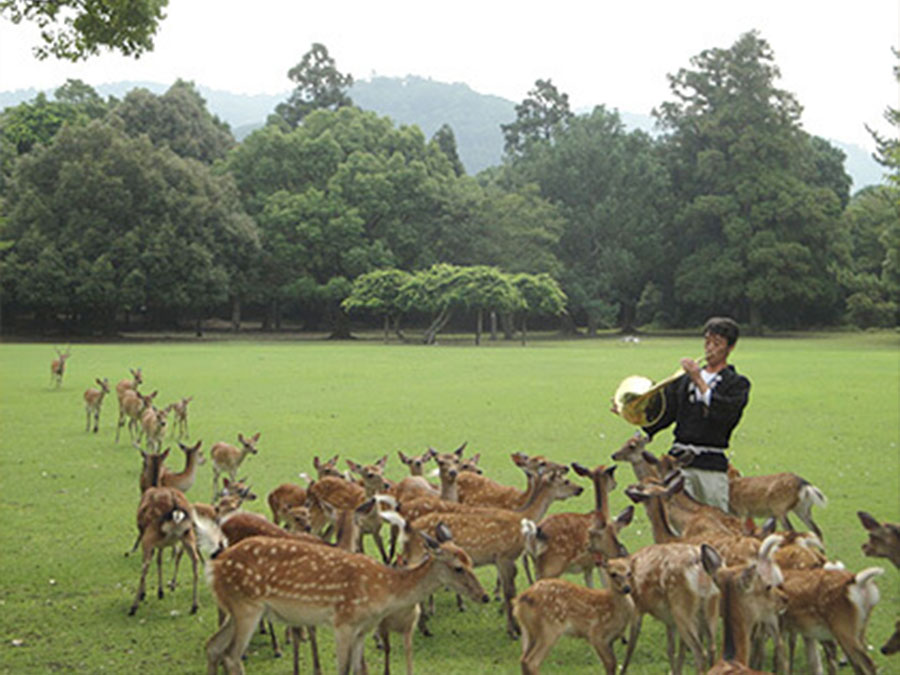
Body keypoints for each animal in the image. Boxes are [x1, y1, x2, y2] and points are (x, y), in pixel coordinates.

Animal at [205, 528, 488, 675]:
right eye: (458, 568)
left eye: (471, 561)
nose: (483, 596)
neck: (384, 591)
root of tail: (215, 566)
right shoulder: (343, 621)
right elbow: (342, 670)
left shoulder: (363, 628)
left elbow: (356, 669)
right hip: (247, 606)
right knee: (231, 655)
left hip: (235, 609)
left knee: (213, 646)